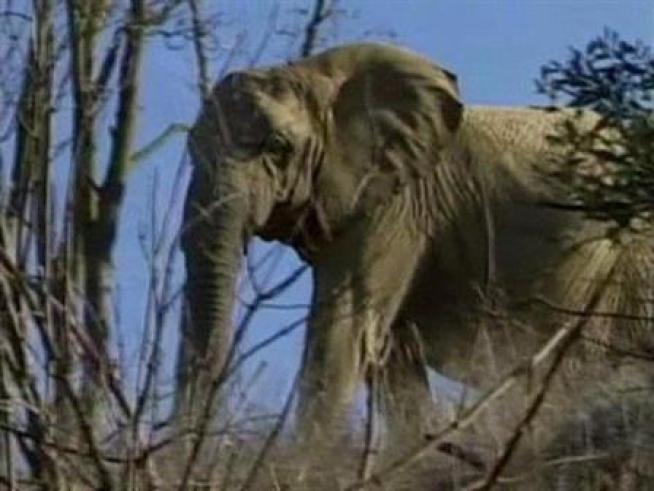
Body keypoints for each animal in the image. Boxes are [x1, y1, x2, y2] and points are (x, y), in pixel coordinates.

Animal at [178, 42, 653, 443]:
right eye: (191, 146)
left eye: (278, 147)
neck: (316, 75)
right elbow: (390, 353)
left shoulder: (396, 207)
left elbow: (343, 328)